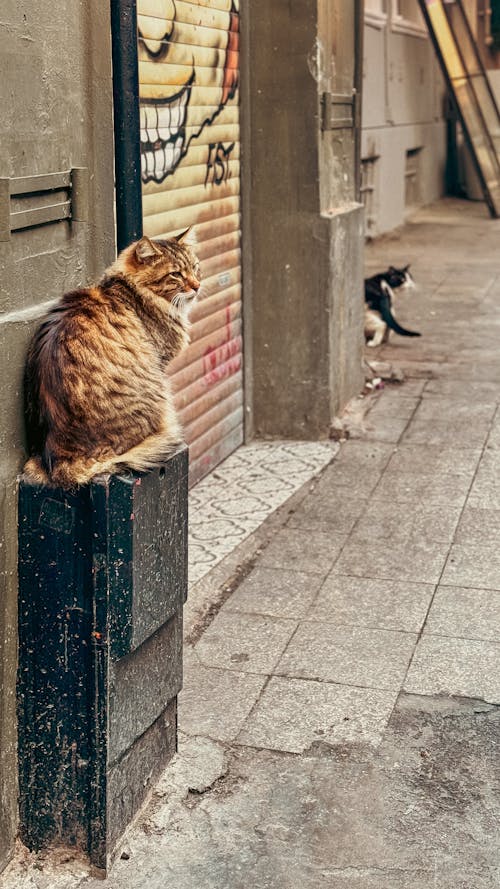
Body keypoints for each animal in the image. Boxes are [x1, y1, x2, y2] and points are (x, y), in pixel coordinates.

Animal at [23, 231, 199, 486]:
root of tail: (61, 460)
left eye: (195, 268)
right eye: (175, 274)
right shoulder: (161, 361)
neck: (130, 291)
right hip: (157, 389)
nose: (197, 286)